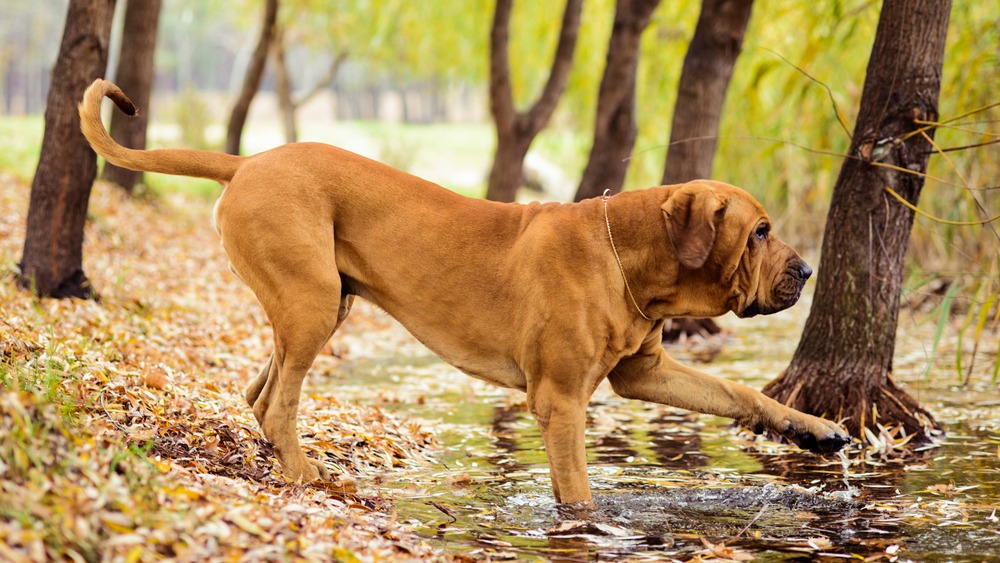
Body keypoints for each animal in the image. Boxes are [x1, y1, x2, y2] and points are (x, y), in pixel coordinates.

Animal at [78, 80, 848, 506]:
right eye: (760, 231)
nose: (807, 271)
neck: (628, 255)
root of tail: (247, 161)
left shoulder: (644, 371)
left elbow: (741, 392)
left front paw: (815, 430)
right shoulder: (560, 402)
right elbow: (577, 492)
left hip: (321, 301)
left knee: (258, 390)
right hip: (311, 301)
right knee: (277, 402)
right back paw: (307, 475)